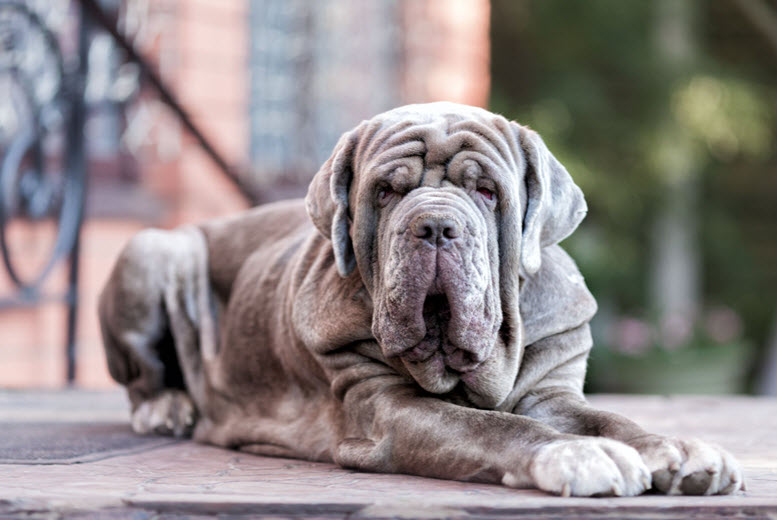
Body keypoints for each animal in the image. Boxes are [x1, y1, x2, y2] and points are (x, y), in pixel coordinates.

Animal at [100, 101, 744, 496]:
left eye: (487, 191)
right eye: (386, 192)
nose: (434, 225)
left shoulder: (552, 393)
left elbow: (612, 419)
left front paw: (679, 451)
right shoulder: (387, 408)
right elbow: (496, 430)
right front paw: (584, 456)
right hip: (156, 250)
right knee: (143, 375)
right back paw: (166, 407)